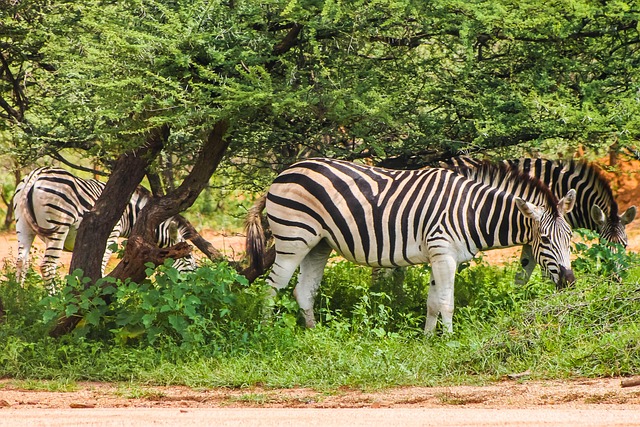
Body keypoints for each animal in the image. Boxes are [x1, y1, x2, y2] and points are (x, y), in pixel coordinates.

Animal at [13, 167, 198, 288]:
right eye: (187, 256)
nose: (194, 282)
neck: (129, 213)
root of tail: (35, 175)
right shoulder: (111, 235)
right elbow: (100, 265)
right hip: (59, 224)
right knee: (48, 266)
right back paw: (54, 302)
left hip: (22, 224)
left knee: (22, 262)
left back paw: (19, 299)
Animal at [244, 158, 576, 334]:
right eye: (545, 240)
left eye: (570, 238)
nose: (570, 282)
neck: (470, 211)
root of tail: (284, 172)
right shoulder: (444, 253)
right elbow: (446, 302)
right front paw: (449, 341)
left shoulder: (438, 255)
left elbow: (432, 302)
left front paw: (428, 339)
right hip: (293, 238)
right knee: (271, 288)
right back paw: (266, 333)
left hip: (319, 245)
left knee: (303, 291)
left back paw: (315, 334)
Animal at [442, 156, 636, 284]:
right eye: (602, 247)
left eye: (625, 246)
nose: (616, 280)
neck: (557, 186)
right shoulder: (542, 236)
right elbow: (543, 273)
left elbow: (523, 273)